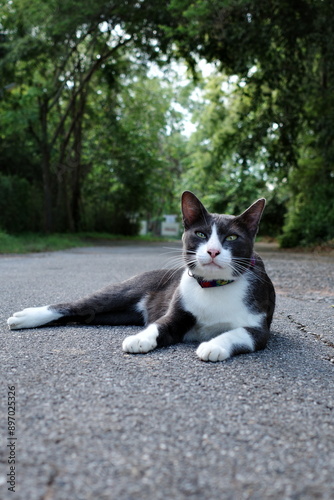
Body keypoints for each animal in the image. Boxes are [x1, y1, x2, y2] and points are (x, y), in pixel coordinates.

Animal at [6, 191, 276, 364]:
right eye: (200, 234)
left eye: (231, 237)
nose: (212, 251)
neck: (213, 286)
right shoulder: (178, 313)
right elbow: (160, 324)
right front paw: (139, 339)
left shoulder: (259, 329)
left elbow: (239, 334)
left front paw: (213, 345)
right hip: (126, 290)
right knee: (76, 305)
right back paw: (27, 316)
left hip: (112, 315)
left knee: (82, 315)